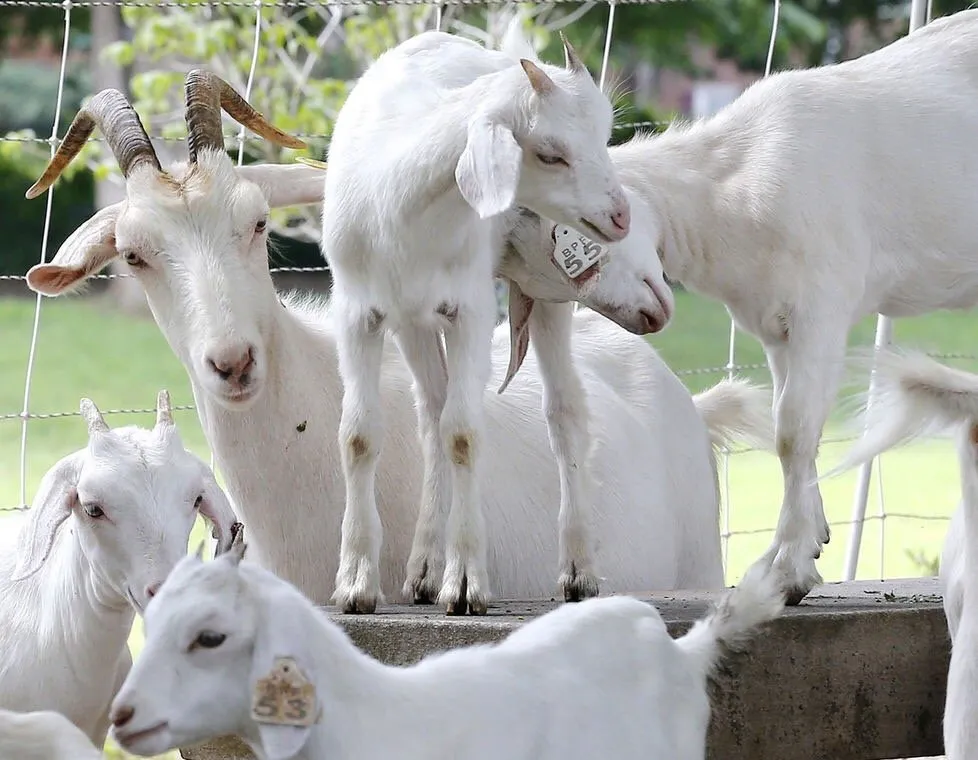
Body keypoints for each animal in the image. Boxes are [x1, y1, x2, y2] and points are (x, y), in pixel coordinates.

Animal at [576, 8, 978, 604]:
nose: (641, 320)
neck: (729, 189)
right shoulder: (773, 322)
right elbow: (793, 428)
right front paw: (812, 538)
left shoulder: (822, 304)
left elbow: (793, 427)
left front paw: (787, 569)